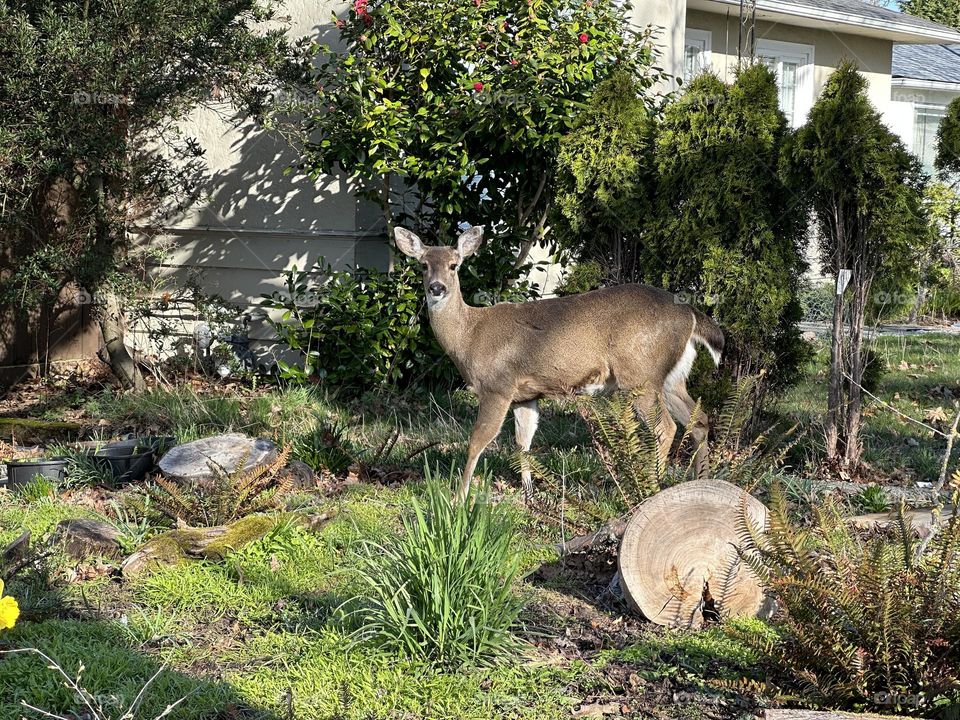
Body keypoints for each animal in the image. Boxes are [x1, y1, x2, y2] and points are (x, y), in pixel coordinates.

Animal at [394, 225, 724, 500]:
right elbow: (523, 442)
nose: (437, 288)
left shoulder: (497, 385)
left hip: (639, 373)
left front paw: (458, 500)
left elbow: (478, 441)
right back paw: (702, 484)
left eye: (454, 265)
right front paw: (529, 492)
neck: (469, 337)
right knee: (699, 419)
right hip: (670, 378)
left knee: (665, 427)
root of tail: (691, 315)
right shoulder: (525, 395)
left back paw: (651, 487)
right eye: (423, 264)